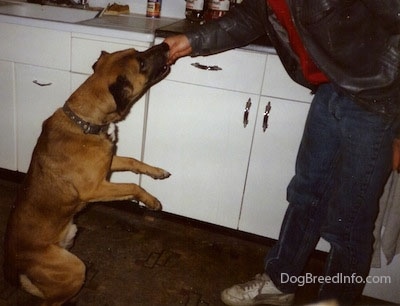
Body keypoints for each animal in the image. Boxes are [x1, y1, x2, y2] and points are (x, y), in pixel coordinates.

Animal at [3, 43, 171, 306]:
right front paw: (151, 201)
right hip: (75, 268)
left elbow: (134, 161)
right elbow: (133, 186)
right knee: (51, 301)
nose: (165, 44)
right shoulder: (96, 188)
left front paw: (157, 172)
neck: (84, 122)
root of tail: (14, 270)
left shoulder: (109, 163)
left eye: (138, 51)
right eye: (141, 62)